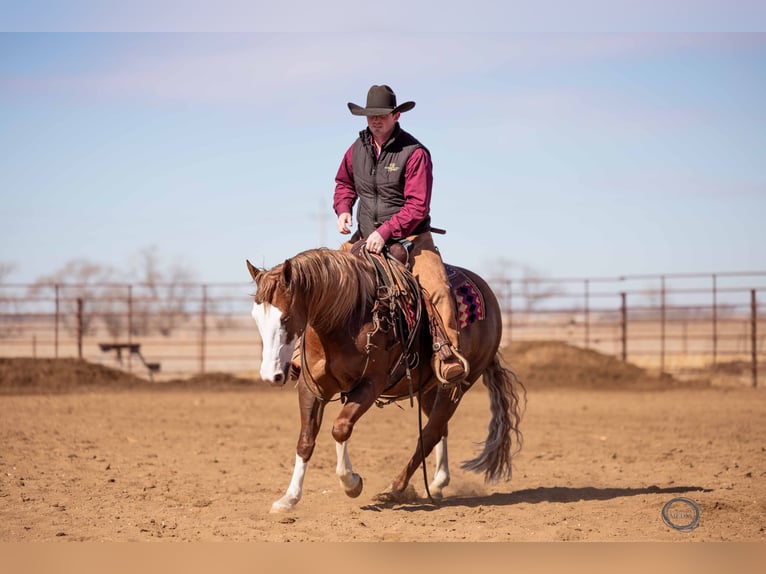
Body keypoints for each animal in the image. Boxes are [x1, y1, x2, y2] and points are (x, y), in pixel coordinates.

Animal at [246, 247, 524, 513]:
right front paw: (289, 498)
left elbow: (340, 428)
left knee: (431, 432)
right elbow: (305, 440)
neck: (344, 318)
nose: (271, 375)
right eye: (256, 318)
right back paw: (437, 483)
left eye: (285, 318)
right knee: (439, 429)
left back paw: (396, 488)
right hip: (427, 389)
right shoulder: (311, 387)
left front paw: (352, 483)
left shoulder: (370, 384)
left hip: (455, 386)